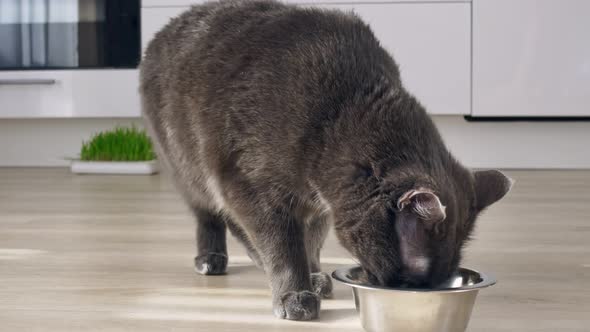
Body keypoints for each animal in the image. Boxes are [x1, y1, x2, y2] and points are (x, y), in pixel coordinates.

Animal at [140, 0, 512, 322]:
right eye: (410, 276)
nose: (408, 290)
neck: (340, 115)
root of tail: (169, 25)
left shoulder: (322, 203)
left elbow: (311, 239)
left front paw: (314, 273)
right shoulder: (249, 183)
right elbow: (282, 245)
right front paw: (294, 293)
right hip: (187, 164)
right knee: (211, 214)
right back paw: (213, 257)